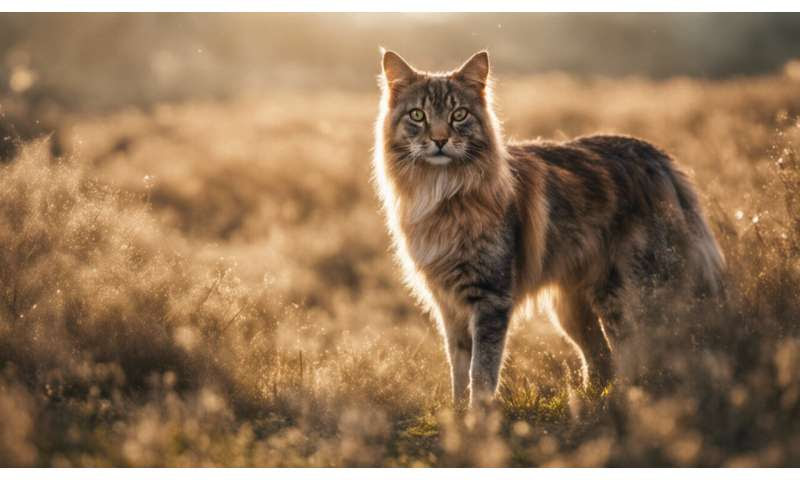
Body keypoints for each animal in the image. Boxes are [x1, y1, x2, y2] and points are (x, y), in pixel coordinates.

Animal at [368, 49, 724, 408]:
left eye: (459, 115)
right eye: (417, 115)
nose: (439, 140)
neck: (442, 194)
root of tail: (658, 157)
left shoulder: (489, 298)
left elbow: (481, 372)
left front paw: (477, 418)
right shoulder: (449, 305)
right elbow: (458, 370)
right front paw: (456, 415)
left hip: (629, 297)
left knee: (649, 351)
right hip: (572, 309)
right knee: (601, 360)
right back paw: (592, 399)